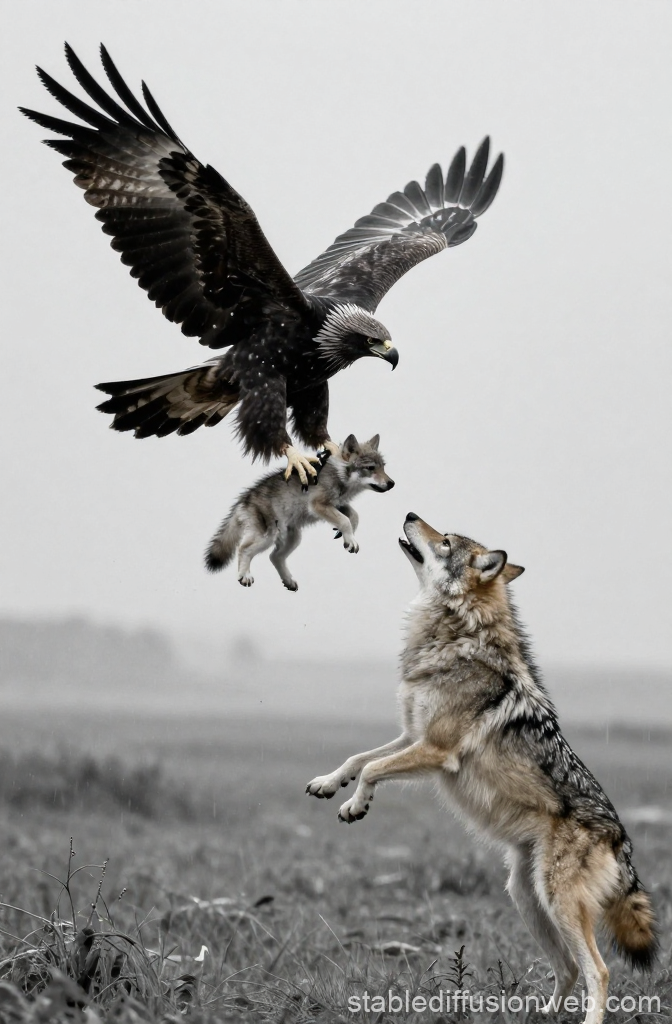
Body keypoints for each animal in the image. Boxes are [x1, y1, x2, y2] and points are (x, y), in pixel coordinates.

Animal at [205, 435, 394, 590]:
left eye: (383, 467)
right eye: (371, 468)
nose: (392, 483)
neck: (338, 474)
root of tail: (242, 500)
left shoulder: (338, 504)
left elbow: (354, 517)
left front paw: (346, 536)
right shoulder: (318, 505)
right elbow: (345, 520)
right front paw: (350, 540)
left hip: (294, 538)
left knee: (274, 557)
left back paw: (288, 581)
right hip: (267, 538)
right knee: (243, 549)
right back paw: (245, 576)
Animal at [306, 513, 657, 1024]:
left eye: (446, 541)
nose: (410, 514)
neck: (456, 632)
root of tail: (621, 838)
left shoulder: (436, 750)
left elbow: (373, 771)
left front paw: (356, 806)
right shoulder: (413, 735)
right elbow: (359, 758)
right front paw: (329, 785)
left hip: (559, 903)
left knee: (599, 970)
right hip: (527, 898)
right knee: (568, 967)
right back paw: (542, 1014)